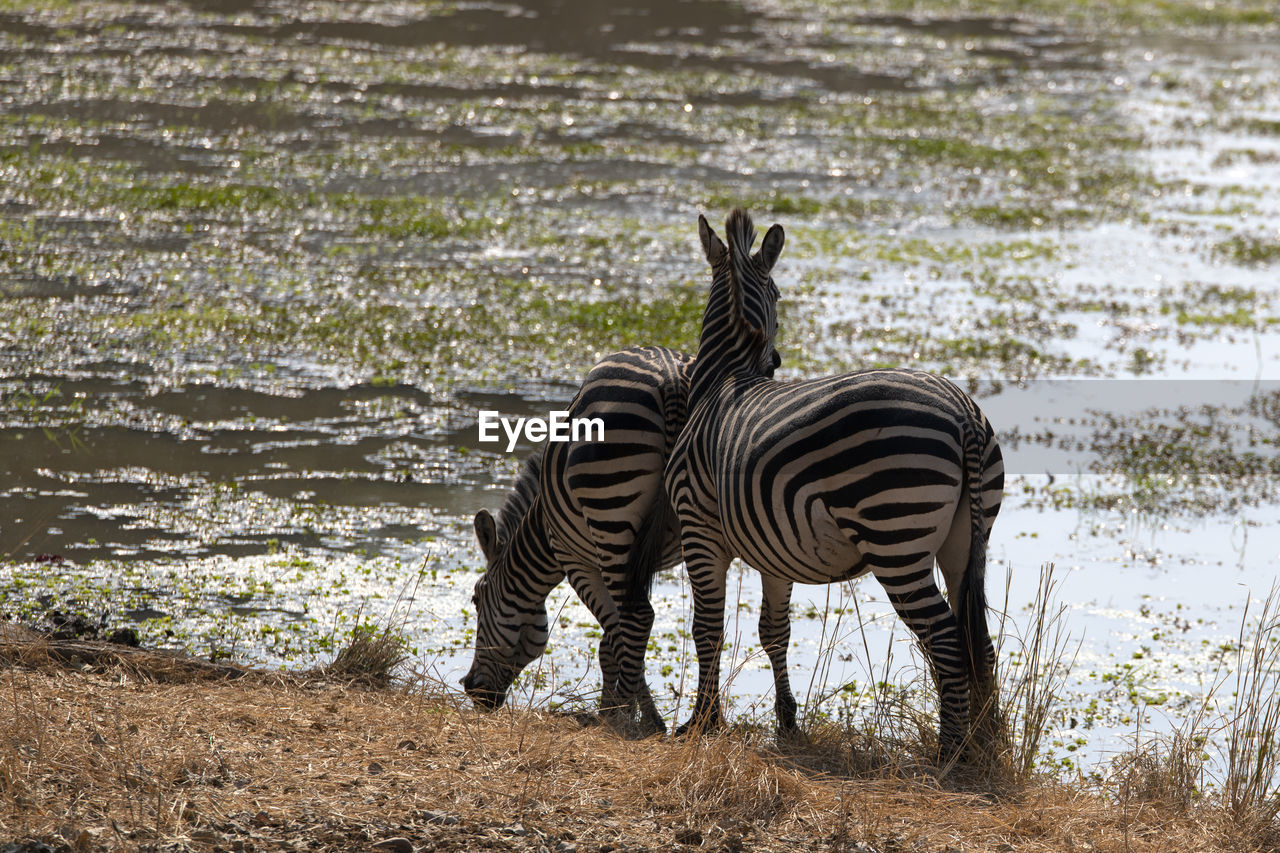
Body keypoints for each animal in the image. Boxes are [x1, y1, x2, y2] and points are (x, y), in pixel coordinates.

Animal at [460, 338, 778, 732]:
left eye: (476, 600)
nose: (471, 690)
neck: (542, 530)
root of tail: (672, 378)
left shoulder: (576, 561)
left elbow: (613, 636)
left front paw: (625, 713)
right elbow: (614, 643)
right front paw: (617, 708)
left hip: (611, 516)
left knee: (638, 616)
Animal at [650, 208, 1008, 758]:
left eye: (778, 295)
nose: (775, 362)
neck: (723, 379)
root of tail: (963, 413)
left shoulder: (699, 528)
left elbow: (707, 627)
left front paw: (702, 722)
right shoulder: (771, 546)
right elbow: (773, 630)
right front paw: (787, 720)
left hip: (896, 540)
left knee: (947, 641)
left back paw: (949, 754)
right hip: (967, 540)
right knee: (979, 643)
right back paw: (985, 747)